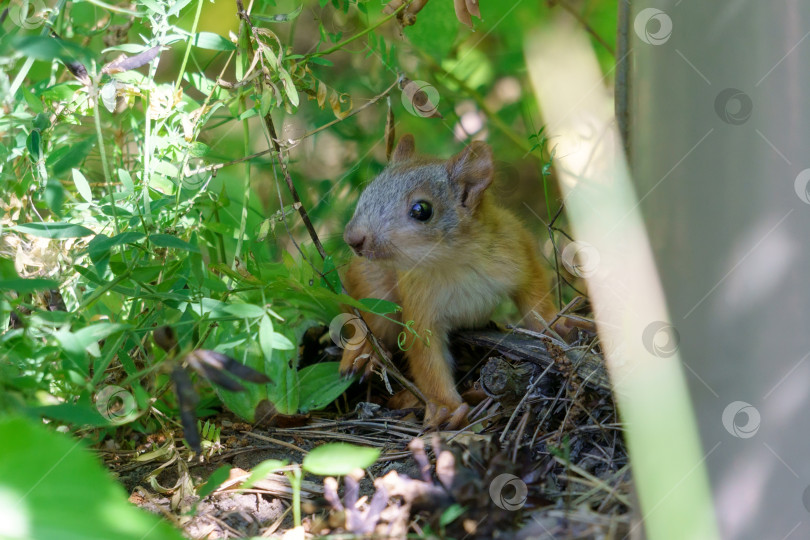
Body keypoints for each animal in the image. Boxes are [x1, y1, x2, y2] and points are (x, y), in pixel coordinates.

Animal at [336, 136, 556, 430]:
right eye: (367, 193)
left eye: (422, 210)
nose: (353, 238)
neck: (452, 260)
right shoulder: (419, 303)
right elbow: (426, 358)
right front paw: (446, 408)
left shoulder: (517, 250)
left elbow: (535, 297)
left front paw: (559, 327)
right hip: (373, 290)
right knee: (369, 321)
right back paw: (362, 350)